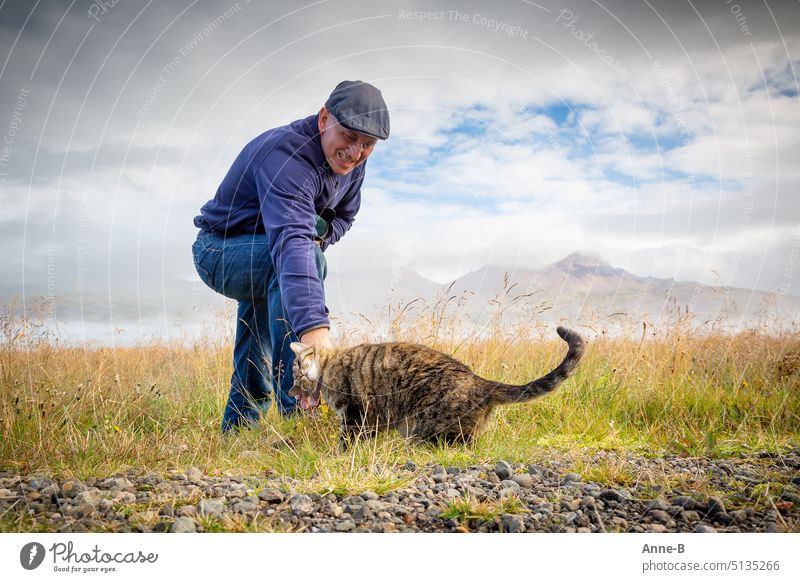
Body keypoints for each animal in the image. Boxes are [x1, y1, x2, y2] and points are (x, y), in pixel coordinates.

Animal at [290, 328, 584, 448]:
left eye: (296, 374)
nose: (293, 391)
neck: (328, 365)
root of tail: (480, 382)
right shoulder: (371, 420)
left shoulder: (354, 414)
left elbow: (346, 442)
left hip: (425, 425)